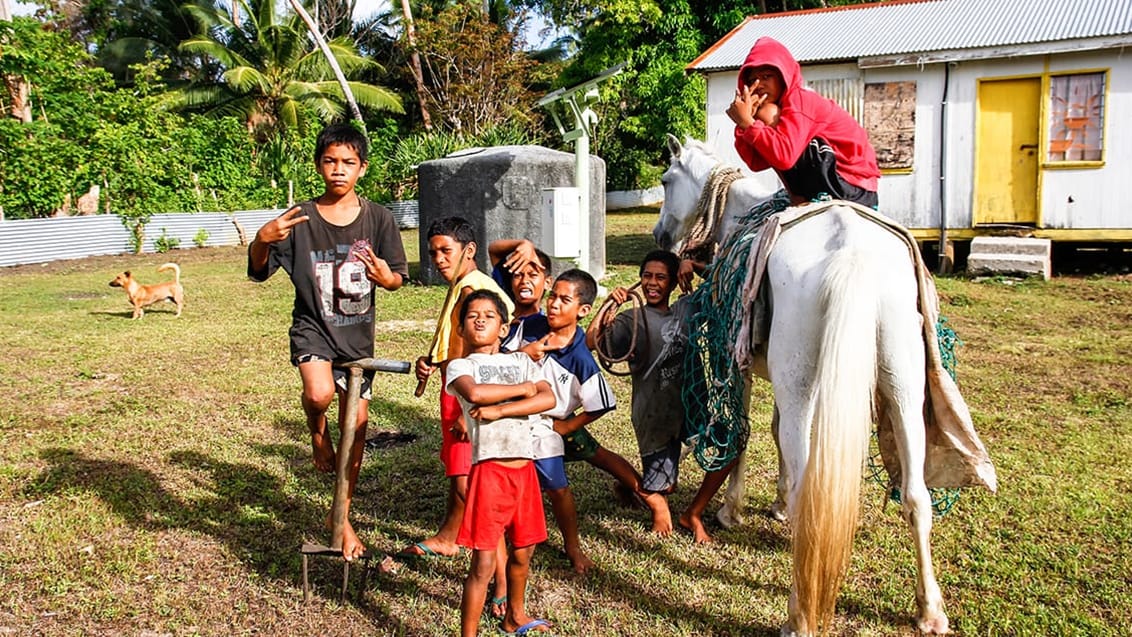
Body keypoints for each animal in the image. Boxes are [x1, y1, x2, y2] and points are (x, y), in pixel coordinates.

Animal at [656, 135, 955, 637]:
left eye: (664, 180)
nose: (660, 236)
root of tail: (852, 254)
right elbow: (781, 438)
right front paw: (774, 505)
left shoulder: (742, 366)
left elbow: (746, 435)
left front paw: (731, 510)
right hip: (903, 389)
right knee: (916, 495)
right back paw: (929, 609)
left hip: (807, 384)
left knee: (806, 491)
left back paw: (798, 616)